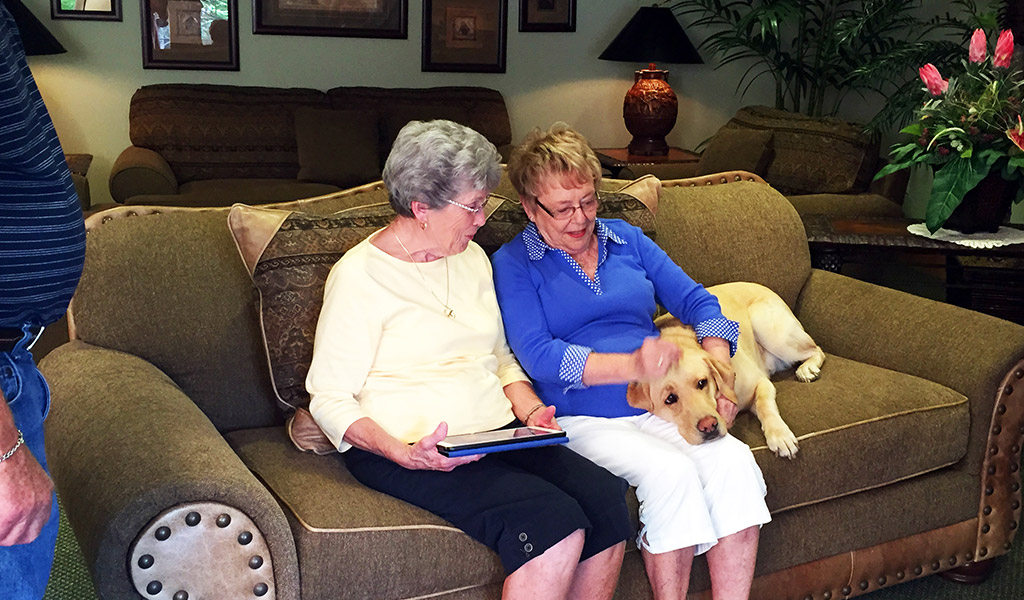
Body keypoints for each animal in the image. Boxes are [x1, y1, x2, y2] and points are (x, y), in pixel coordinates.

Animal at [622, 282, 823, 454]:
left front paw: (780, 435)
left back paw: (807, 368)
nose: (708, 425)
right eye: (670, 399)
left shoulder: (760, 383)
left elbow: (765, 405)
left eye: (702, 382)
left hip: (768, 327)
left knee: (817, 349)